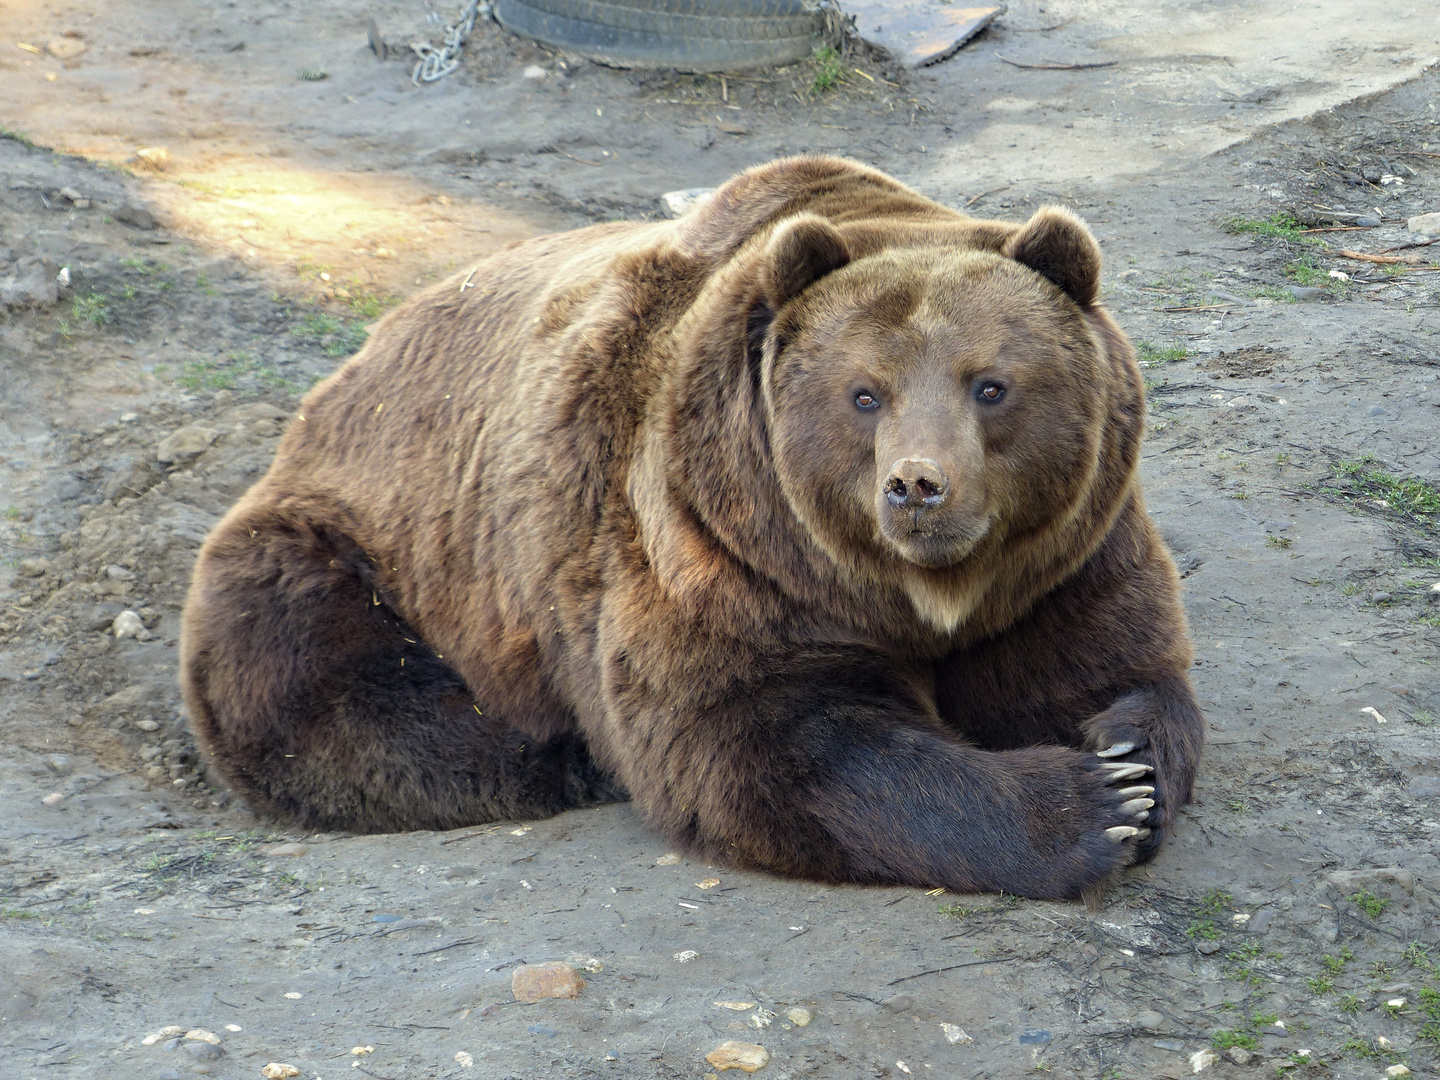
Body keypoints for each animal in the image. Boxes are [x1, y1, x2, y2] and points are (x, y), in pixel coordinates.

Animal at [180, 158, 1203, 904]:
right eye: (864, 393)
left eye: (991, 384)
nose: (918, 485)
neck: (915, 596)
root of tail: (341, 375)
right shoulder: (717, 553)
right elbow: (764, 742)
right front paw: (1087, 807)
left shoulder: (1062, 558)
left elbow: (1119, 666)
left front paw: (1130, 763)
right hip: (350, 542)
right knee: (321, 677)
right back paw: (554, 756)